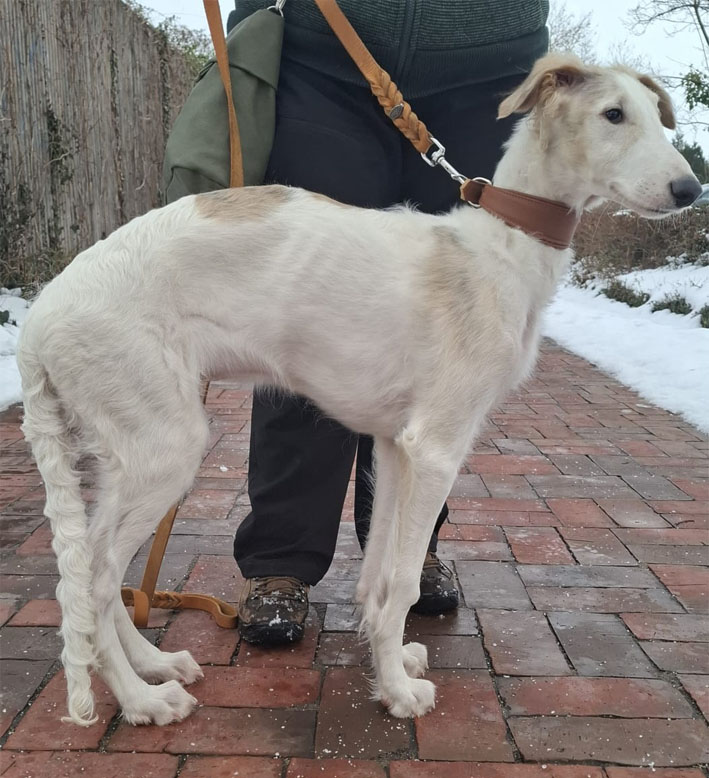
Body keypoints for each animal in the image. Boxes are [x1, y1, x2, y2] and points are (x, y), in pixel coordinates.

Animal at [17, 53, 701, 726]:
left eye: (658, 114)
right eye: (613, 114)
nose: (690, 190)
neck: (501, 246)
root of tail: (39, 318)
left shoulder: (396, 448)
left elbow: (380, 576)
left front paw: (388, 657)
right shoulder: (437, 448)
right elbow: (404, 581)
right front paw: (398, 693)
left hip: (131, 453)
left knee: (99, 576)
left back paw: (154, 663)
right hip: (166, 446)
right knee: (92, 580)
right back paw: (141, 700)